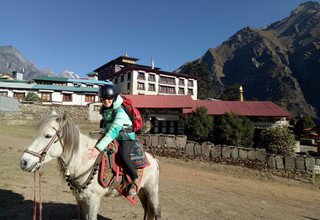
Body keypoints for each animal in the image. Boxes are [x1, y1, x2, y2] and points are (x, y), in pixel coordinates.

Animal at [18, 111, 161, 220]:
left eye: (48, 136)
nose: (24, 162)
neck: (84, 160)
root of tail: (153, 159)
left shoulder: (94, 199)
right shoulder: (80, 198)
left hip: (152, 189)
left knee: (156, 212)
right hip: (142, 191)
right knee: (147, 211)